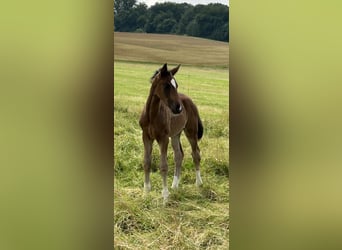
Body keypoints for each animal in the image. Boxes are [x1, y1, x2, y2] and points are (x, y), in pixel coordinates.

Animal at [139, 63, 203, 201]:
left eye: (176, 85)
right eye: (167, 86)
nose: (178, 108)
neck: (152, 115)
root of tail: (190, 100)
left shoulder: (163, 138)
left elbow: (163, 166)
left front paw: (165, 195)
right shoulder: (146, 136)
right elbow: (146, 162)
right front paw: (146, 192)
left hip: (191, 131)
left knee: (196, 153)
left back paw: (199, 183)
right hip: (175, 134)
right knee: (179, 155)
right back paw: (175, 185)